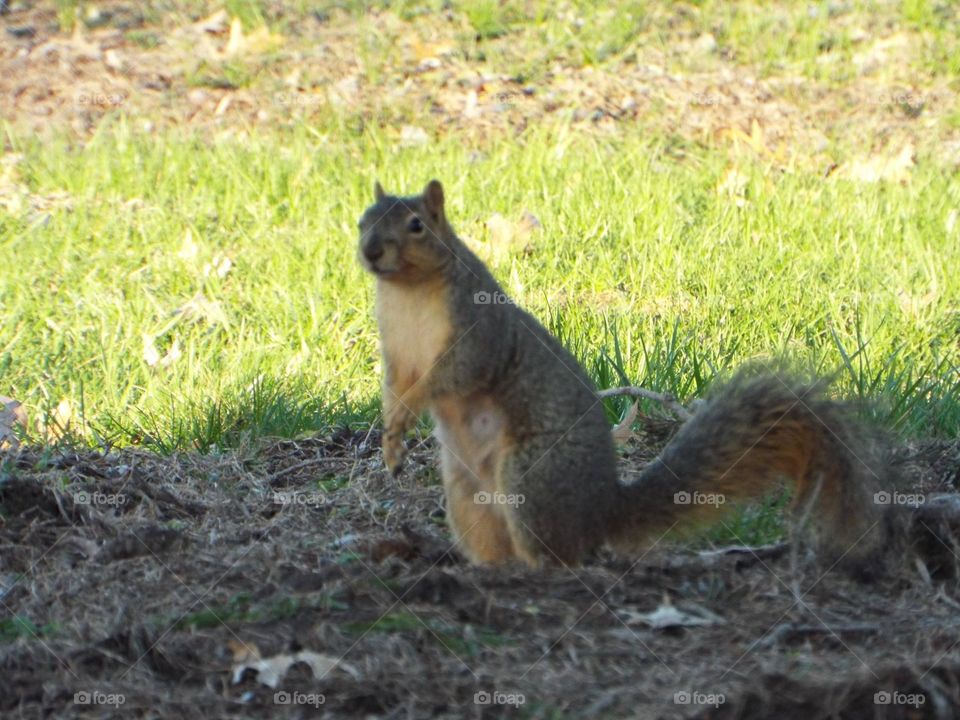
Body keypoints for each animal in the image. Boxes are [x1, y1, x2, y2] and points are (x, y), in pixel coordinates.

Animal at [357, 179, 904, 576]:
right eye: (362, 218)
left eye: (416, 225)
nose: (370, 251)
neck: (408, 291)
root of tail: (604, 508)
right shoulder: (396, 353)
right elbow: (394, 385)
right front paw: (390, 439)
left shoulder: (477, 335)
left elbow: (447, 378)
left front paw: (408, 414)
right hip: (467, 496)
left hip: (531, 476)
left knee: (561, 556)